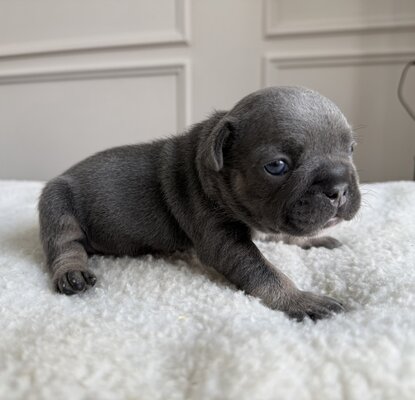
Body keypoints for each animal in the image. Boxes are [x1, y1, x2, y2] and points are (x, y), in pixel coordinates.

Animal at [38, 86, 361, 321]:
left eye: (351, 149)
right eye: (277, 166)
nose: (339, 188)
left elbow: (283, 233)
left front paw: (314, 241)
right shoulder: (223, 240)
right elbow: (263, 271)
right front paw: (298, 299)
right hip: (56, 202)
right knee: (64, 244)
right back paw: (71, 273)